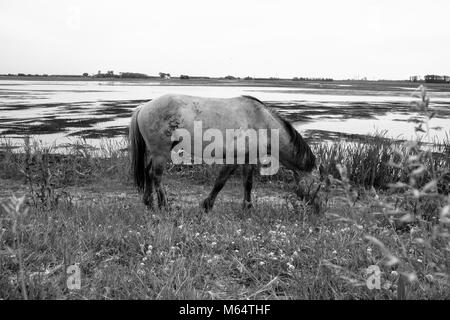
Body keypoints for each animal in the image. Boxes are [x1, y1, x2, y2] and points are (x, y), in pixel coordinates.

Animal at [128, 94, 314, 211]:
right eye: (317, 185)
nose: (316, 209)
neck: (261, 122)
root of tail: (144, 107)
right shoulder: (234, 159)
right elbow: (220, 182)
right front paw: (207, 205)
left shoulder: (248, 158)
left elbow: (248, 183)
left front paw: (247, 207)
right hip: (160, 152)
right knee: (156, 176)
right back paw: (164, 206)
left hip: (157, 152)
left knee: (148, 173)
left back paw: (149, 203)